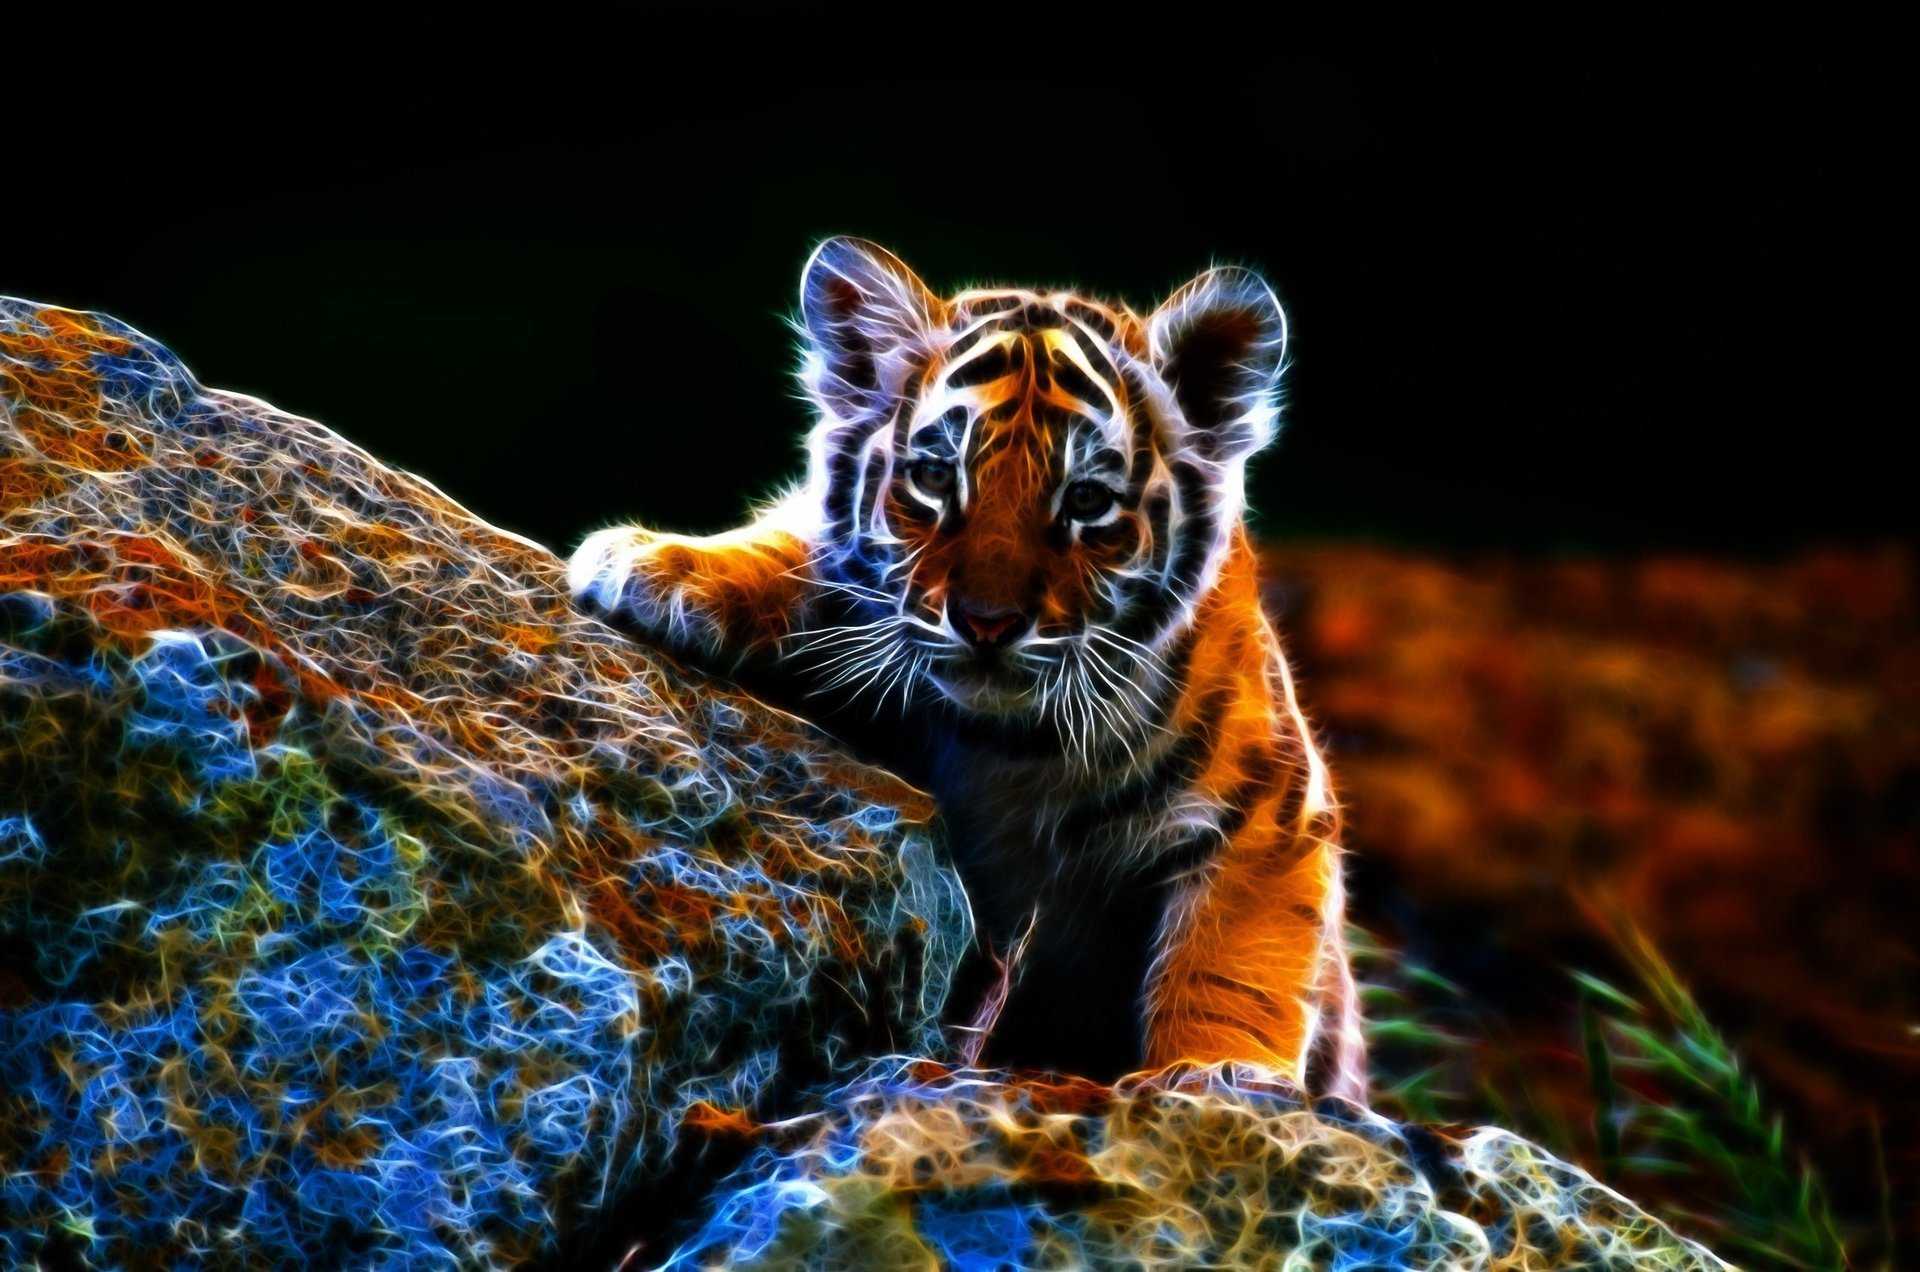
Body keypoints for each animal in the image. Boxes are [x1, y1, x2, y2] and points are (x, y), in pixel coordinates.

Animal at [569, 238, 1365, 1101]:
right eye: (934, 478)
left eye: (1087, 501)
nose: (986, 623)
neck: (1008, 748)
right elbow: (796, 549)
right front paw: (657, 565)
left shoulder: (1268, 817)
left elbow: (1230, 968)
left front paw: (1217, 1076)